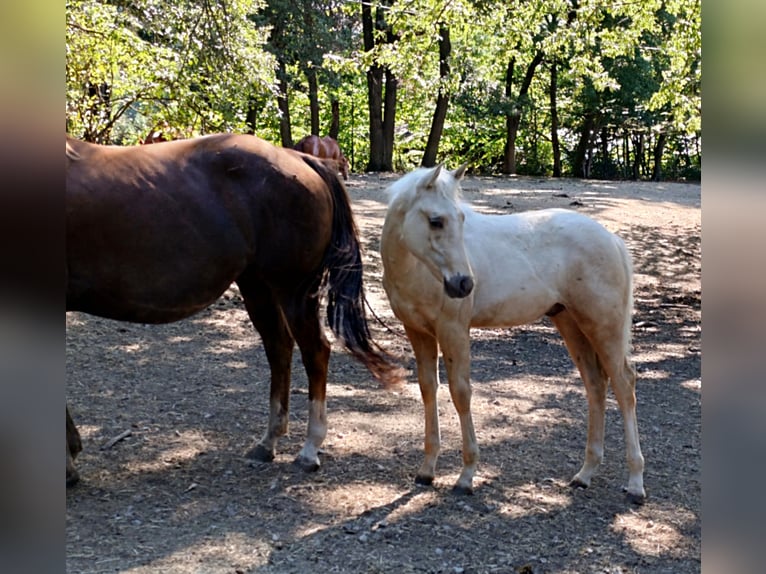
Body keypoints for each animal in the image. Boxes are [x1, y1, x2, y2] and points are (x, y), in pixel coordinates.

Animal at [66, 133, 396, 487]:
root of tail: (301, 160)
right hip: (257, 285)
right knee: (279, 348)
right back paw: (269, 440)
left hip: (292, 289)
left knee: (314, 351)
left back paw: (309, 448)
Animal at [380, 164, 646, 504]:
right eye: (436, 220)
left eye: (461, 218)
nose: (464, 284)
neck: (416, 271)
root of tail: (612, 239)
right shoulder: (418, 332)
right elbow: (429, 389)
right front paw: (427, 471)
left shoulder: (454, 330)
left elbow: (461, 393)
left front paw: (466, 476)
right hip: (571, 324)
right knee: (596, 385)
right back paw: (585, 474)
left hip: (603, 327)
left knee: (624, 386)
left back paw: (635, 482)